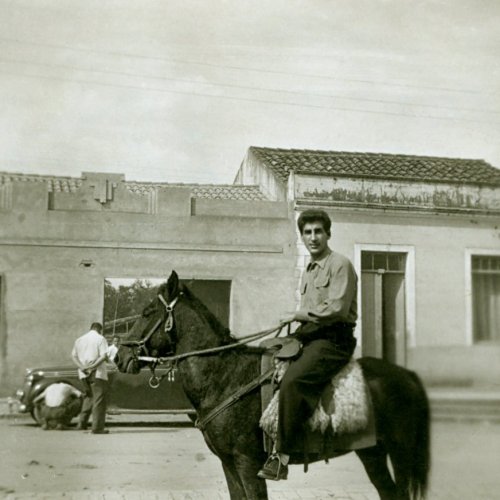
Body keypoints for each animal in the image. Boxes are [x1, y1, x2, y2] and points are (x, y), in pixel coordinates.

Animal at [116, 272, 430, 498]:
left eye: (147, 312)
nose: (120, 356)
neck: (226, 377)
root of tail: (407, 375)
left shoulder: (247, 464)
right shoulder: (229, 464)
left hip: (399, 451)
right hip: (372, 452)